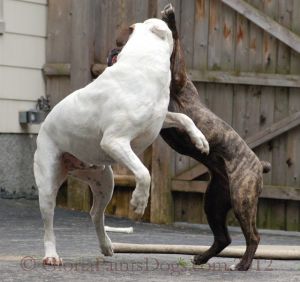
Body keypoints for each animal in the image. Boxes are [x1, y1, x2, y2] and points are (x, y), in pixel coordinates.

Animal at [34, 18, 209, 266]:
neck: (143, 63)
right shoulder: (115, 141)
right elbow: (144, 173)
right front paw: (139, 202)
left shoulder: (159, 120)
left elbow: (184, 118)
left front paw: (200, 140)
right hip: (48, 185)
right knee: (49, 224)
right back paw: (51, 255)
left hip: (104, 182)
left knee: (96, 214)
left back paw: (106, 245)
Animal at [108, 3, 272, 270]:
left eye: (121, 44)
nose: (112, 51)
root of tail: (259, 163)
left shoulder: (178, 76)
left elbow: (176, 40)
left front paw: (170, 18)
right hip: (214, 202)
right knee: (223, 238)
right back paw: (202, 257)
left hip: (242, 199)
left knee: (253, 236)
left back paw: (242, 265)